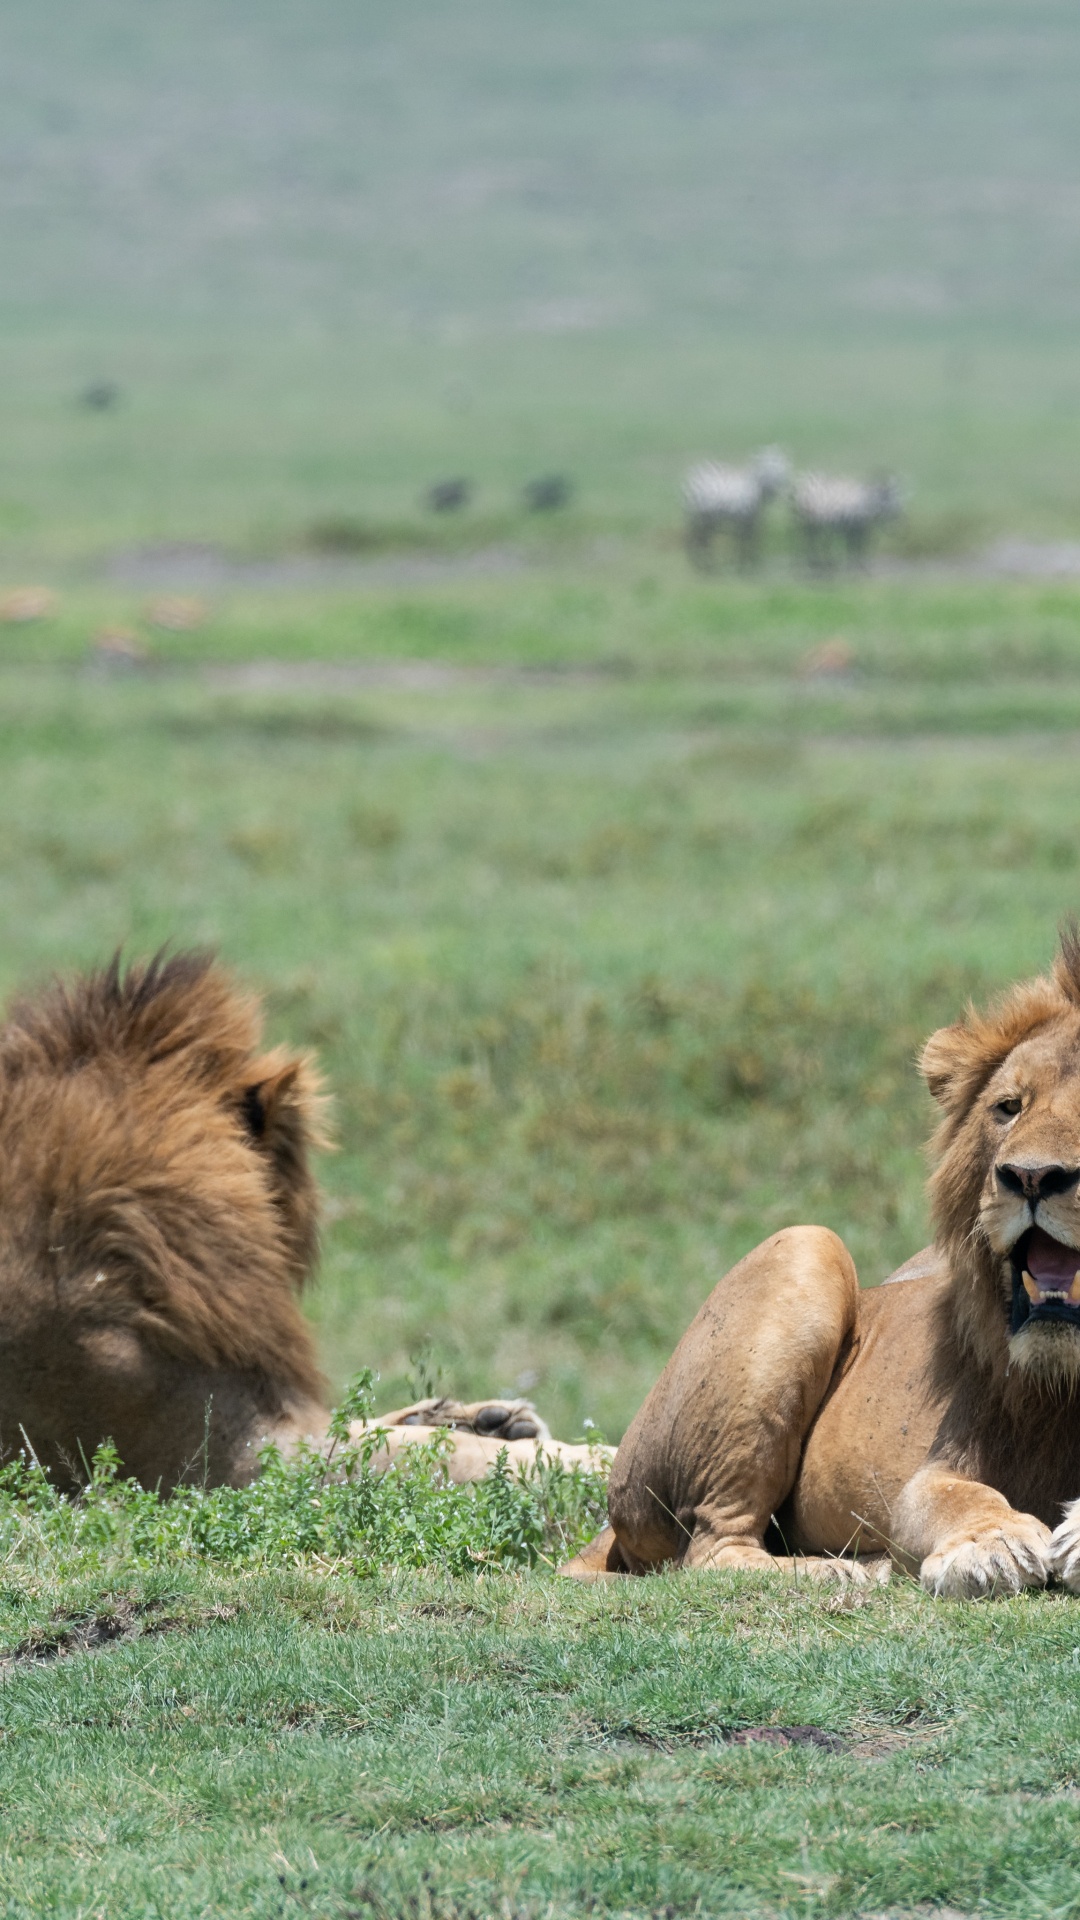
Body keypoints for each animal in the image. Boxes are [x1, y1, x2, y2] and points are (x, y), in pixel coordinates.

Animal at [562, 930, 1080, 1598]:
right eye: (1009, 1107)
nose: (1031, 1177)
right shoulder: (933, 1472)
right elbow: (954, 1498)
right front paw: (992, 1546)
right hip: (806, 1248)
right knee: (710, 1547)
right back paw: (839, 1570)